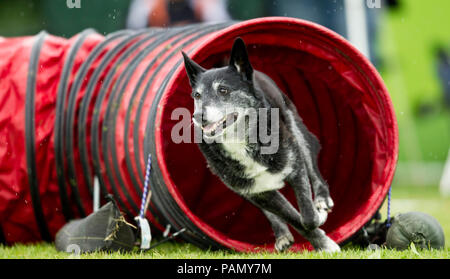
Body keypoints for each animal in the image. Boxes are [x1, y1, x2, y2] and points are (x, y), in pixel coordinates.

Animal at [181, 37, 340, 254]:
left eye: (223, 90)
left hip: (296, 129)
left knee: (315, 173)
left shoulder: (295, 165)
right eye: (197, 96)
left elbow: (307, 216)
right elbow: (293, 218)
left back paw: (322, 200)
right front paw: (322, 242)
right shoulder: (257, 192)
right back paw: (282, 234)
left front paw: (320, 227)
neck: (241, 140)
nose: (198, 117)